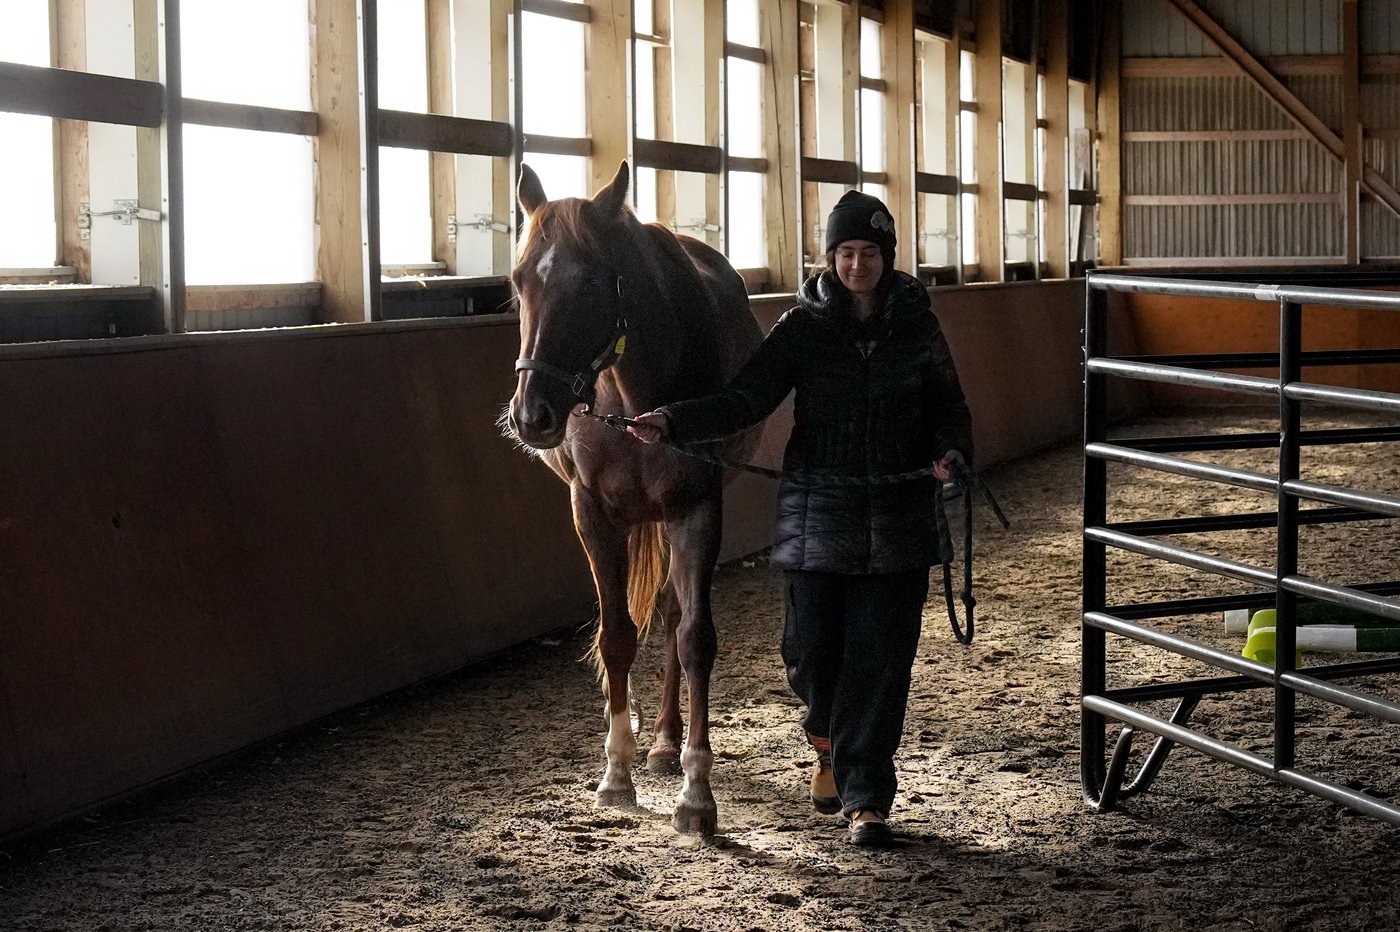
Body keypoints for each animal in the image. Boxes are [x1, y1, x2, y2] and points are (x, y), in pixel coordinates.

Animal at [504, 161, 763, 835]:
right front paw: (615, 772)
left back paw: (669, 742)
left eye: (594, 282)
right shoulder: (593, 515)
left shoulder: (696, 510)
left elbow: (696, 637)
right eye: (518, 281)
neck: (637, 399)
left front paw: (697, 794)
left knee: (673, 615)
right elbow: (616, 635)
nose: (534, 415)